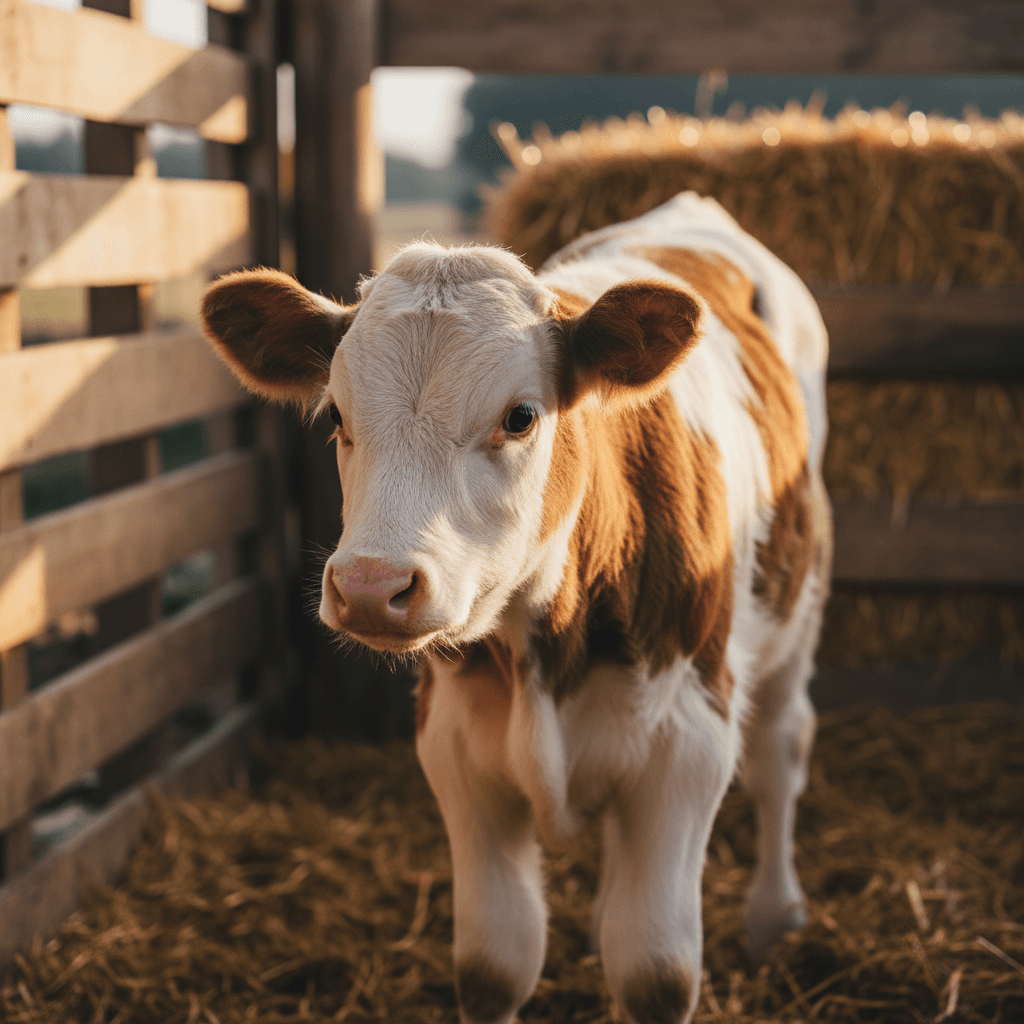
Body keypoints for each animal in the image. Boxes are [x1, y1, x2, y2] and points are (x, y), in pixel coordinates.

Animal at [201, 192, 831, 1024]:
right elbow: (495, 966)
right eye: (334, 415)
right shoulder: (458, 749)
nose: (370, 585)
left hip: (798, 612)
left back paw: (775, 914)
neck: (549, 648)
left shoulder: (688, 744)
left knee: (780, 754)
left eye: (521, 416)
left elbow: (657, 973)